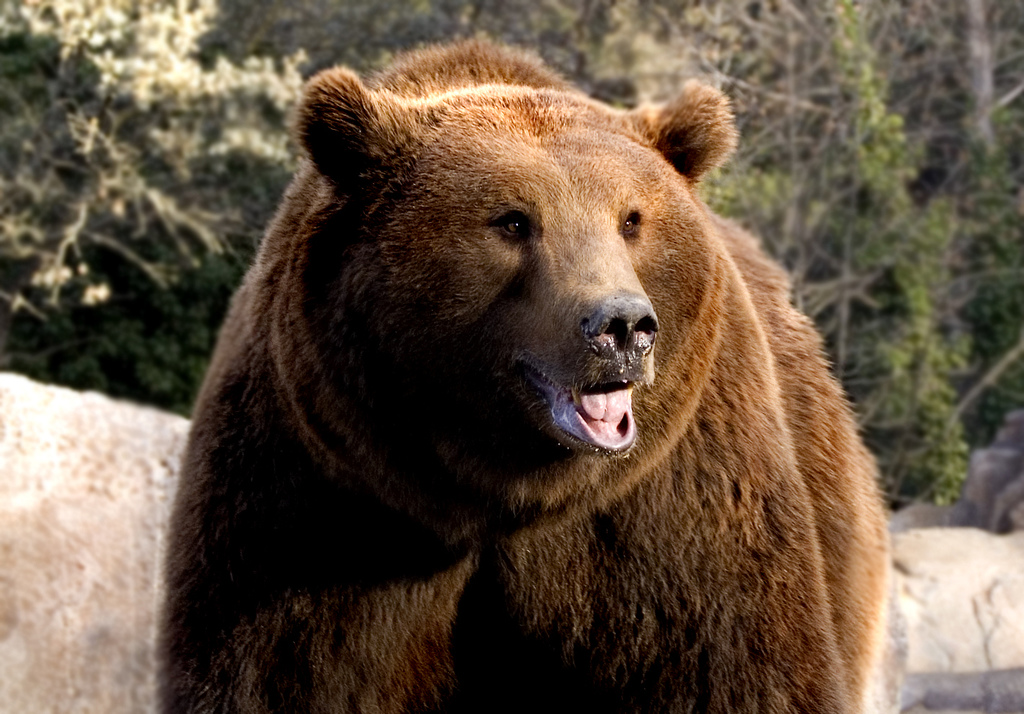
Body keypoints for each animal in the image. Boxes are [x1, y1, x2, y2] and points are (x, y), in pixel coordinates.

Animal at [160, 40, 891, 714]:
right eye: (513, 220)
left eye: (632, 218)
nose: (623, 326)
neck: (502, 490)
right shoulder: (317, 498)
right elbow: (280, 668)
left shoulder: (671, 509)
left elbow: (728, 667)